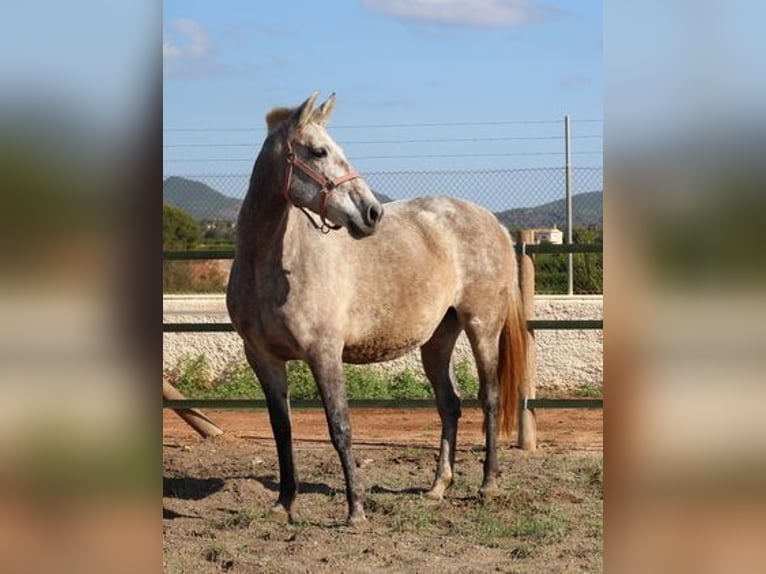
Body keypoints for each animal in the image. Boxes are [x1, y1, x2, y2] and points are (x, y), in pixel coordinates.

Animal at [225, 91, 532, 528]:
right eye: (319, 151)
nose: (372, 212)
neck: (270, 264)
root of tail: (494, 222)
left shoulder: (324, 353)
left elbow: (340, 427)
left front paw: (355, 511)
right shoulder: (263, 358)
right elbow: (281, 428)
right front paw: (284, 503)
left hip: (482, 325)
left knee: (488, 398)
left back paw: (488, 485)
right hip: (438, 338)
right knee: (450, 404)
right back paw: (437, 488)